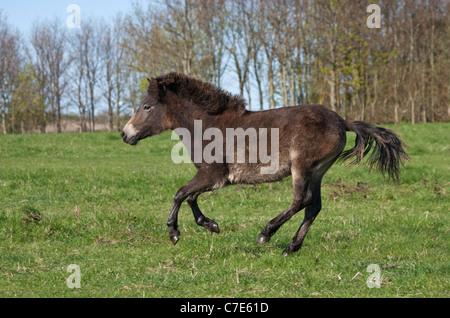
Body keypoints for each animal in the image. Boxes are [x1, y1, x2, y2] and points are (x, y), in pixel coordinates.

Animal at [119, 72, 408, 256]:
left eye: (146, 106)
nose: (124, 134)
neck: (207, 125)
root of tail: (342, 120)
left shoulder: (213, 175)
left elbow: (180, 194)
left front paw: (174, 233)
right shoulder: (210, 177)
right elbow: (190, 197)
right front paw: (211, 225)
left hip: (302, 167)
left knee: (301, 201)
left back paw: (266, 234)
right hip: (318, 172)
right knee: (313, 207)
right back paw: (290, 248)